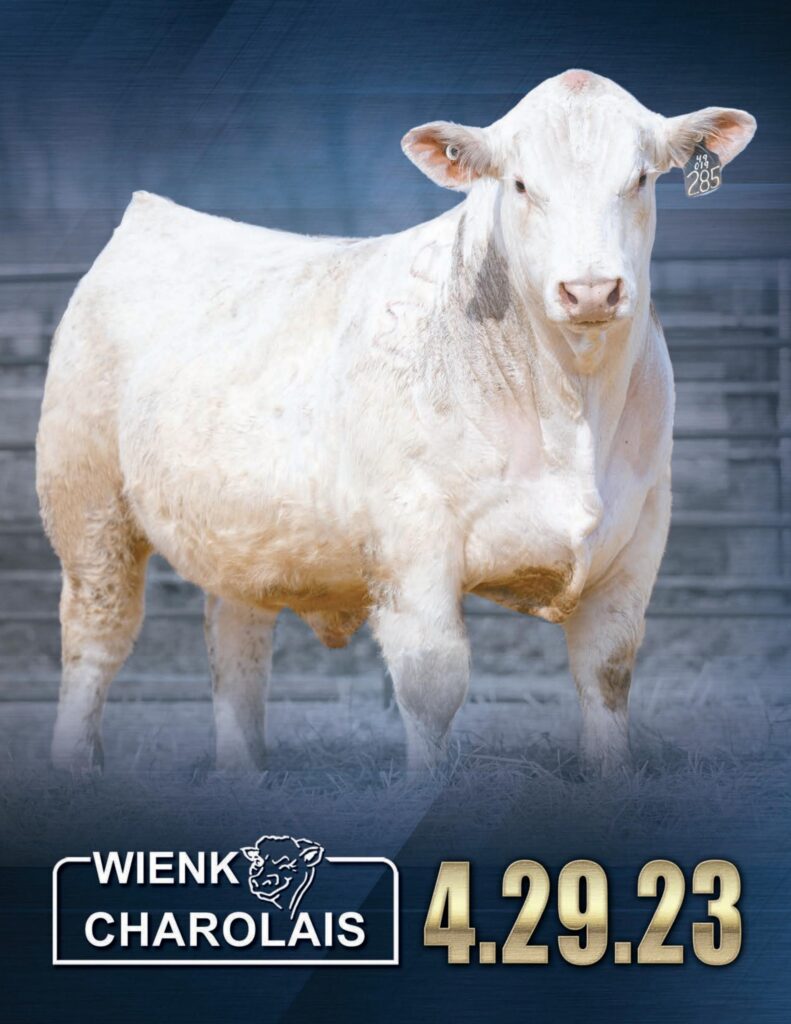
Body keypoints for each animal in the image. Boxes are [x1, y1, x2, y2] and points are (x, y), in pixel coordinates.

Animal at [36, 70, 755, 776]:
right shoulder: (413, 540)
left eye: (640, 179)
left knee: (236, 643)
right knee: (97, 635)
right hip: (88, 505)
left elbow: (606, 673)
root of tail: (152, 215)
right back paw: (73, 765)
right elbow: (432, 682)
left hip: (238, 531)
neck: (570, 410)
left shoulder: (639, 534)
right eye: (521, 184)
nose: (590, 290)